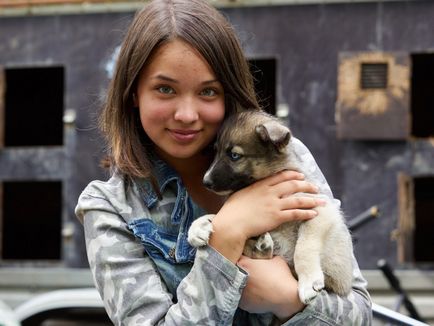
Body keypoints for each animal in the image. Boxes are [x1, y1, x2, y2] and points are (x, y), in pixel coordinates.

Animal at [188, 111, 354, 304]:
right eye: (216, 151)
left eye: (234, 155)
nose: (205, 181)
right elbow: (216, 215)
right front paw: (197, 228)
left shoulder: (320, 210)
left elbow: (303, 248)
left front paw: (308, 283)